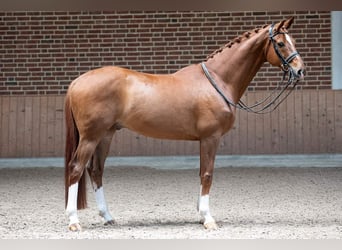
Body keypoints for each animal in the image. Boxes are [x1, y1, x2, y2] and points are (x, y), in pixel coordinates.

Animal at [64, 17, 304, 230]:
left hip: (106, 135)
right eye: (280, 43)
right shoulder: (210, 138)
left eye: (293, 41)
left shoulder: (203, 140)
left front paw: (201, 214)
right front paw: (208, 218)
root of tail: (77, 81)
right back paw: (74, 221)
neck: (218, 80)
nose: (299, 70)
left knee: (96, 171)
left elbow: (201, 172)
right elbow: (207, 174)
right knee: (76, 169)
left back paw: (107, 217)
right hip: (91, 137)